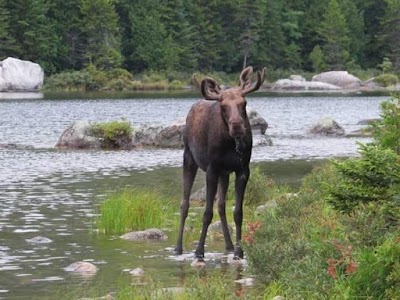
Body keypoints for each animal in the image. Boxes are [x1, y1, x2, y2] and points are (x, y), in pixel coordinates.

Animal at [175, 66, 266, 260]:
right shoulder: (212, 169)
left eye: (244, 103)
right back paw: (178, 248)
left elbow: (237, 212)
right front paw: (199, 251)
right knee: (184, 203)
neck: (231, 144)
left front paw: (239, 251)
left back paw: (229, 245)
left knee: (221, 205)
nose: (237, 125)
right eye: (223, 106)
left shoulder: (242, 170)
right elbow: (206, 213)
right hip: (189, 159)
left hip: (224, 173)